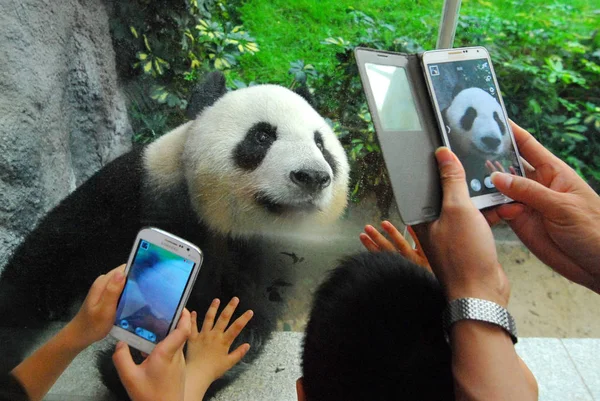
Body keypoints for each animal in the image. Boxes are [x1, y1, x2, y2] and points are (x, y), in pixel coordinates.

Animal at [0, 72, 350, 396]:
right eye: (262, 136)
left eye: (321, 144)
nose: (313, 176)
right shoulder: (139, 186)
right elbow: (54, 251)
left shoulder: (268, 258)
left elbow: (244, 313)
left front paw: (144, 366)